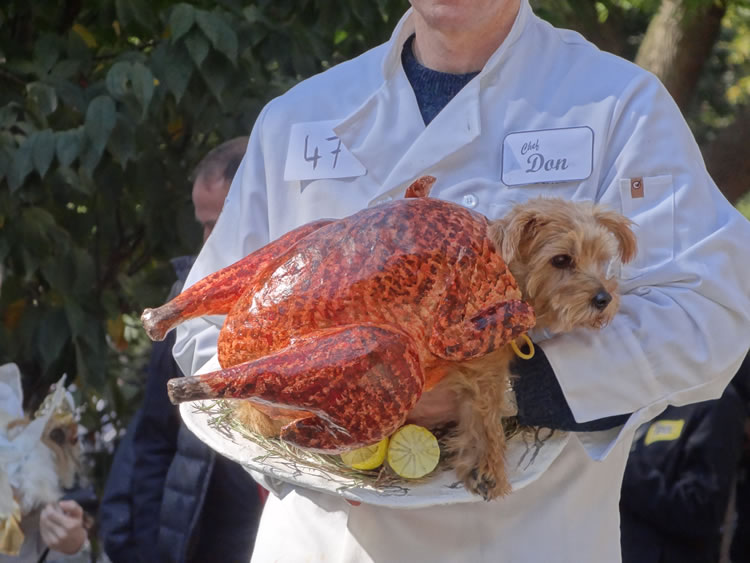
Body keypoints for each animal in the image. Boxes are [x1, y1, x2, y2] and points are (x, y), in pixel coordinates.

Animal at [407, 197, 637, 500]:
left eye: (600, 259)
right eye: (561, 259)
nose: (604, 299)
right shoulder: (480, 360)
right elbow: (486, 407)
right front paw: (487, 465)